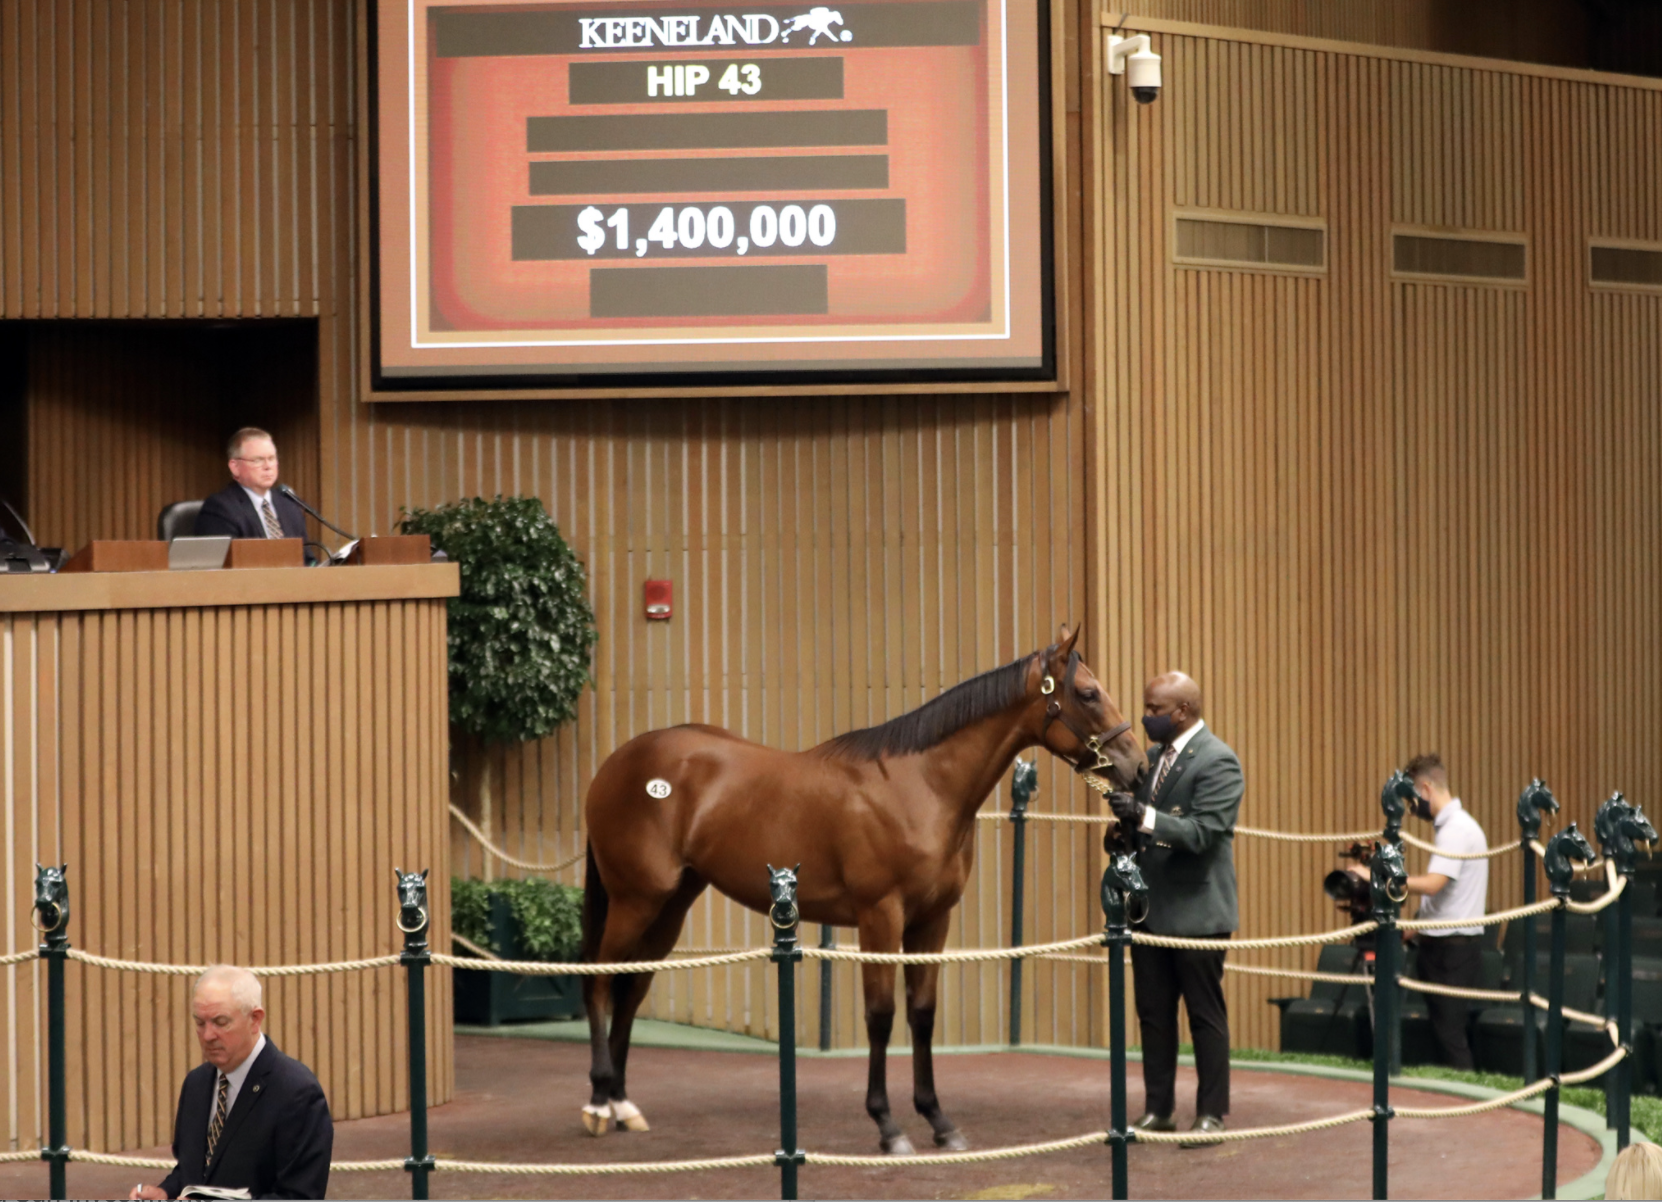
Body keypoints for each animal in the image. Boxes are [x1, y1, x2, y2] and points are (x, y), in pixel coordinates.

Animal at [575, 625, 1143, 1150]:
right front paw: (888, 1124)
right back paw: (599, 1102)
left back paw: (623, 1104)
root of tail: (615, 764)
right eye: (1088, 693)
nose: (1136, 767)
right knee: (598, 979)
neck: (920, 785)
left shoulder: (932, 920)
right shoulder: (880, 916)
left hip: (671, 905)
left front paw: (938, 1120)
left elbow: (921, 1014)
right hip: (635, 900)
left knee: (631, 988)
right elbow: (881, 1015)